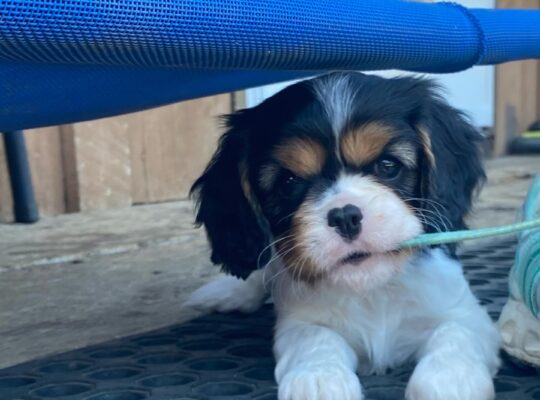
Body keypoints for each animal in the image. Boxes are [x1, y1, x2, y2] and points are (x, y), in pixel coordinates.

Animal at [187, 72, 502, 400]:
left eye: (388, 165)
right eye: (288, 182)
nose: (345, 216)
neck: (372, 289)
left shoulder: (465, 313)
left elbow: (455, 334)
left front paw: (451, 381)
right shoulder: (299, 322)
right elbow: (315, 339)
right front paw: (318, 379)